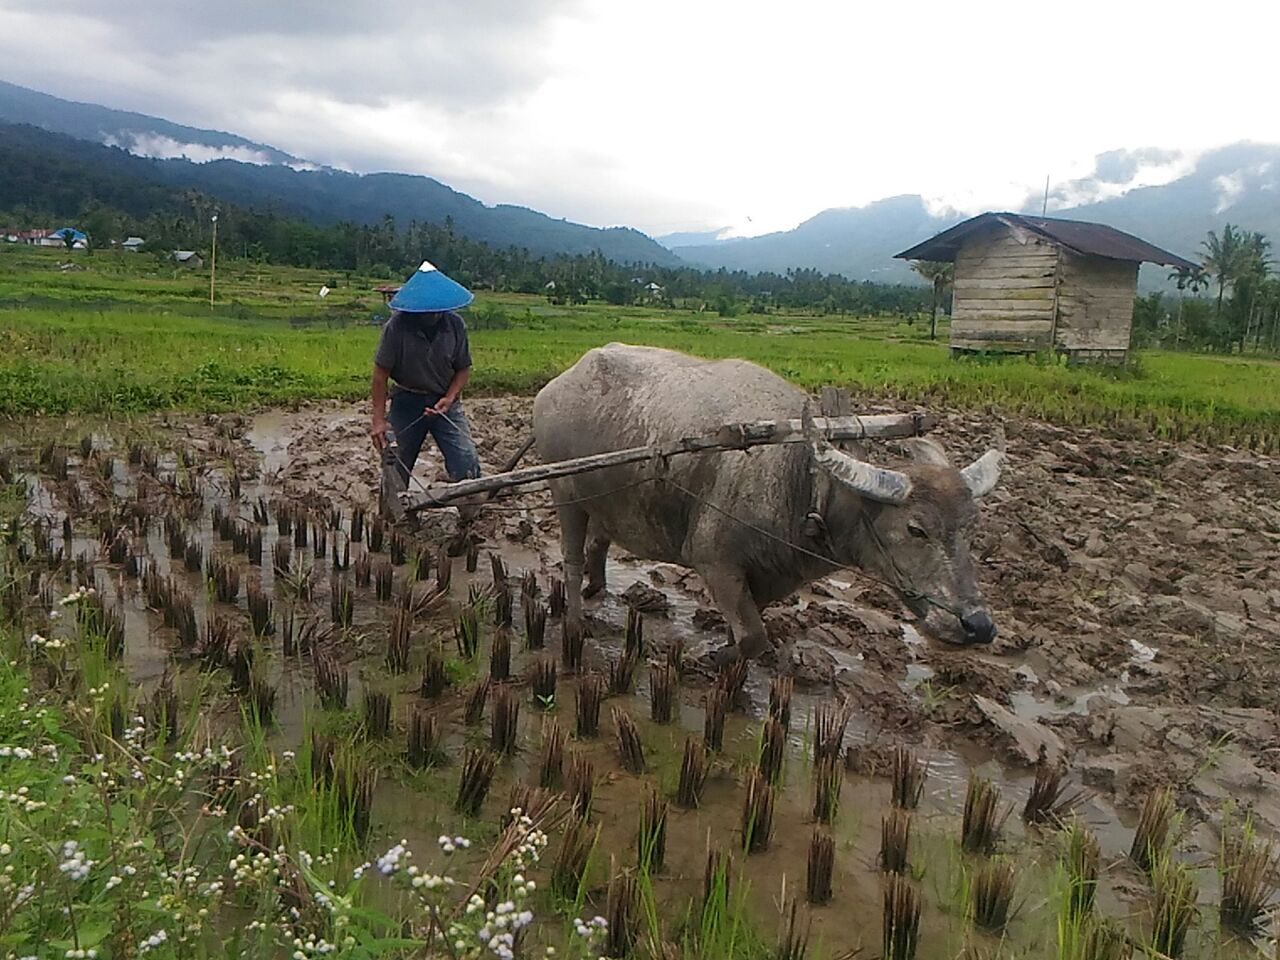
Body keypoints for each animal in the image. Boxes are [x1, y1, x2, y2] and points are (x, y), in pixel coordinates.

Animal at [529, 345, 998, 670]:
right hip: (564, 491)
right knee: (571, 557)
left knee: (599, 542)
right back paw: (575, 622)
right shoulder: (715, 563)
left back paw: (597, 589)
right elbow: (755, 638)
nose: (979, 626)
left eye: (973, 527)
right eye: (917, 529)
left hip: (603, 500)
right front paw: (705, 659)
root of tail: (554, 388)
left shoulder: (772, 579)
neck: (804, 483)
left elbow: (749, 635)